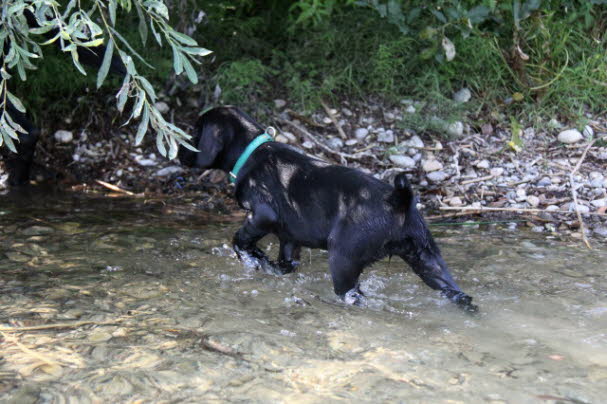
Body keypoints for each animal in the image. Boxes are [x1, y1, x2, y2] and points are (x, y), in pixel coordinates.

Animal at [178, 105, 478, 310]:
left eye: (194, 131)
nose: (178, 153)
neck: (251, 153)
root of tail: (398, 200)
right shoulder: (289, 238)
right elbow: (284, 262)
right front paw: (267, 264)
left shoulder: (261, 215)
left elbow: (239, 239)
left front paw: (252, 258)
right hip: (428, 261)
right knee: (458, 293)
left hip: (343, 259)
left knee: (352, 294)